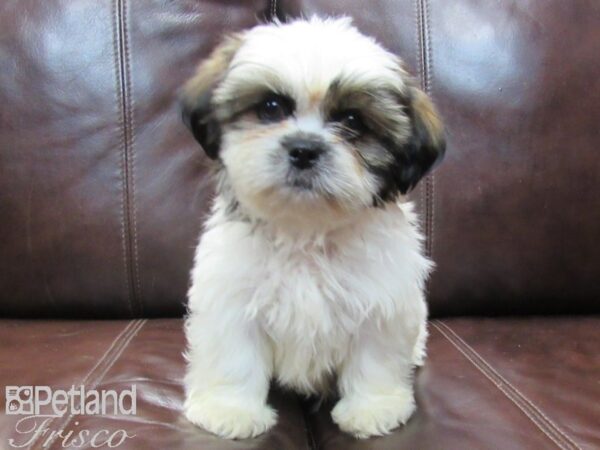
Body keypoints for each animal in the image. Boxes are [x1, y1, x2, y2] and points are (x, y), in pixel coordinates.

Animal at [183, 16, 446, 440]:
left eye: (353, 121)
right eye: (271, 107)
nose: (304, 149)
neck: (305, 229)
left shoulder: (381, 299)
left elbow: (375, 356)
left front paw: (373, 408)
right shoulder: (232, 296)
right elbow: (234, 355)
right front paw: (230, 409)